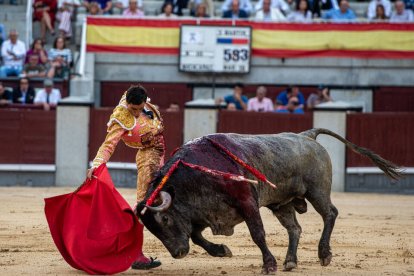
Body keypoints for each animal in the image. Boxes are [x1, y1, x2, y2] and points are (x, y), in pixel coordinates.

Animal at [136, 129, 402, 274]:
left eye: (165, 219)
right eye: (151, 229)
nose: (178, 253)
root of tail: (307, 135)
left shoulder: (247, 202)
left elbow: (257, 234)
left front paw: (269, 265)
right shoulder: (202, 212)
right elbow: (196, 235)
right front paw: (221, 250)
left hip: (317, 191)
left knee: (330, 214)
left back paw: (324, 253)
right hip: (282, 204)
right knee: (295, 228)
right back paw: (291, 261)